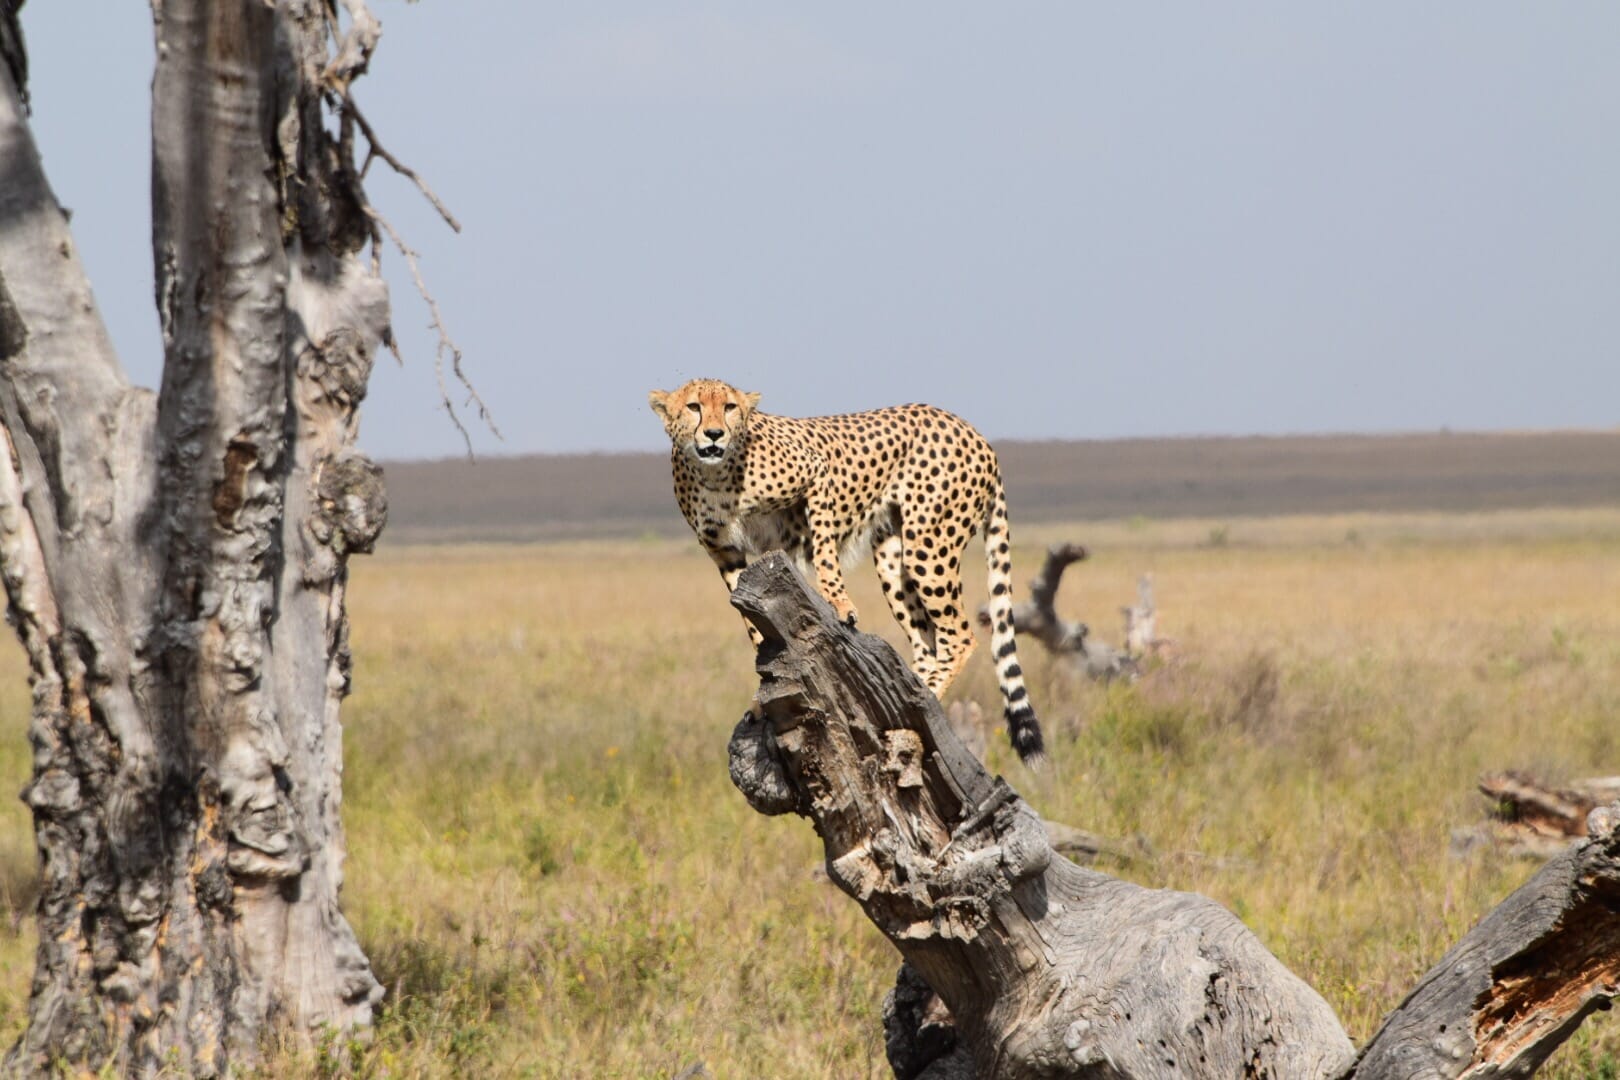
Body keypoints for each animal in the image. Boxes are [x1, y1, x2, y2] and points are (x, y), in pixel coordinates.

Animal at [649, 378, 1044, 763]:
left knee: (959, 635)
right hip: (893, 556)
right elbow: (752, 627)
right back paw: (906, 699)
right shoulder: (725, 553)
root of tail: (970, 429)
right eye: (694, 406)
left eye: (730, 407)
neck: (714, 473)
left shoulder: (815, 473)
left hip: (929, 544)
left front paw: (840, 605)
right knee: (925, 641)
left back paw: (918, 707)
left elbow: (825, 550)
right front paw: (761, 699)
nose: (714, 434)